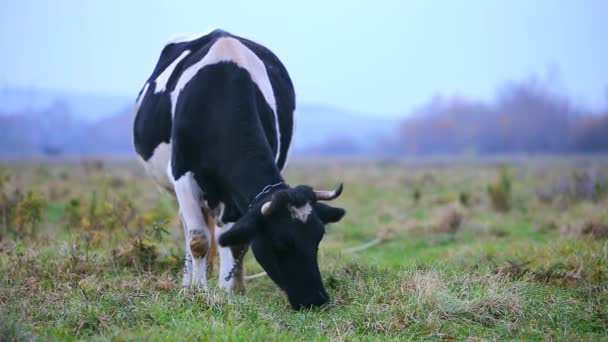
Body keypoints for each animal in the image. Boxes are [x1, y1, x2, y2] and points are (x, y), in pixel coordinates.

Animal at [132, 28, 346, 308]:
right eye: (281, 243)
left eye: (318, 238)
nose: (316, 299)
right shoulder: (182, 175)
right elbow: (198, 239)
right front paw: (199, 292)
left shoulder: (236, 197)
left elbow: (236, 241)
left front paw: (228, 291)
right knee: (190, 229)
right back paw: (189, 282)